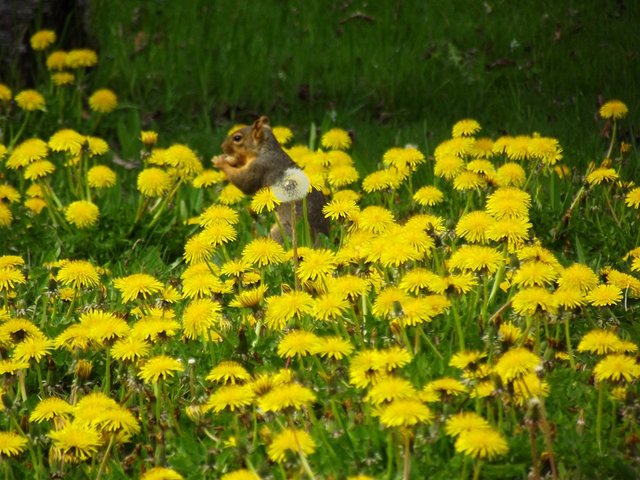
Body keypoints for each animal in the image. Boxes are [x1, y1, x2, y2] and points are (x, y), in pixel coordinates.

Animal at [214, 116, 328, 244]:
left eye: (237, 138)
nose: (222, 146)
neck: (266, 149)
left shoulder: (261, 167)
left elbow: (245, 183)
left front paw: (220, 161)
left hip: (284, 231)